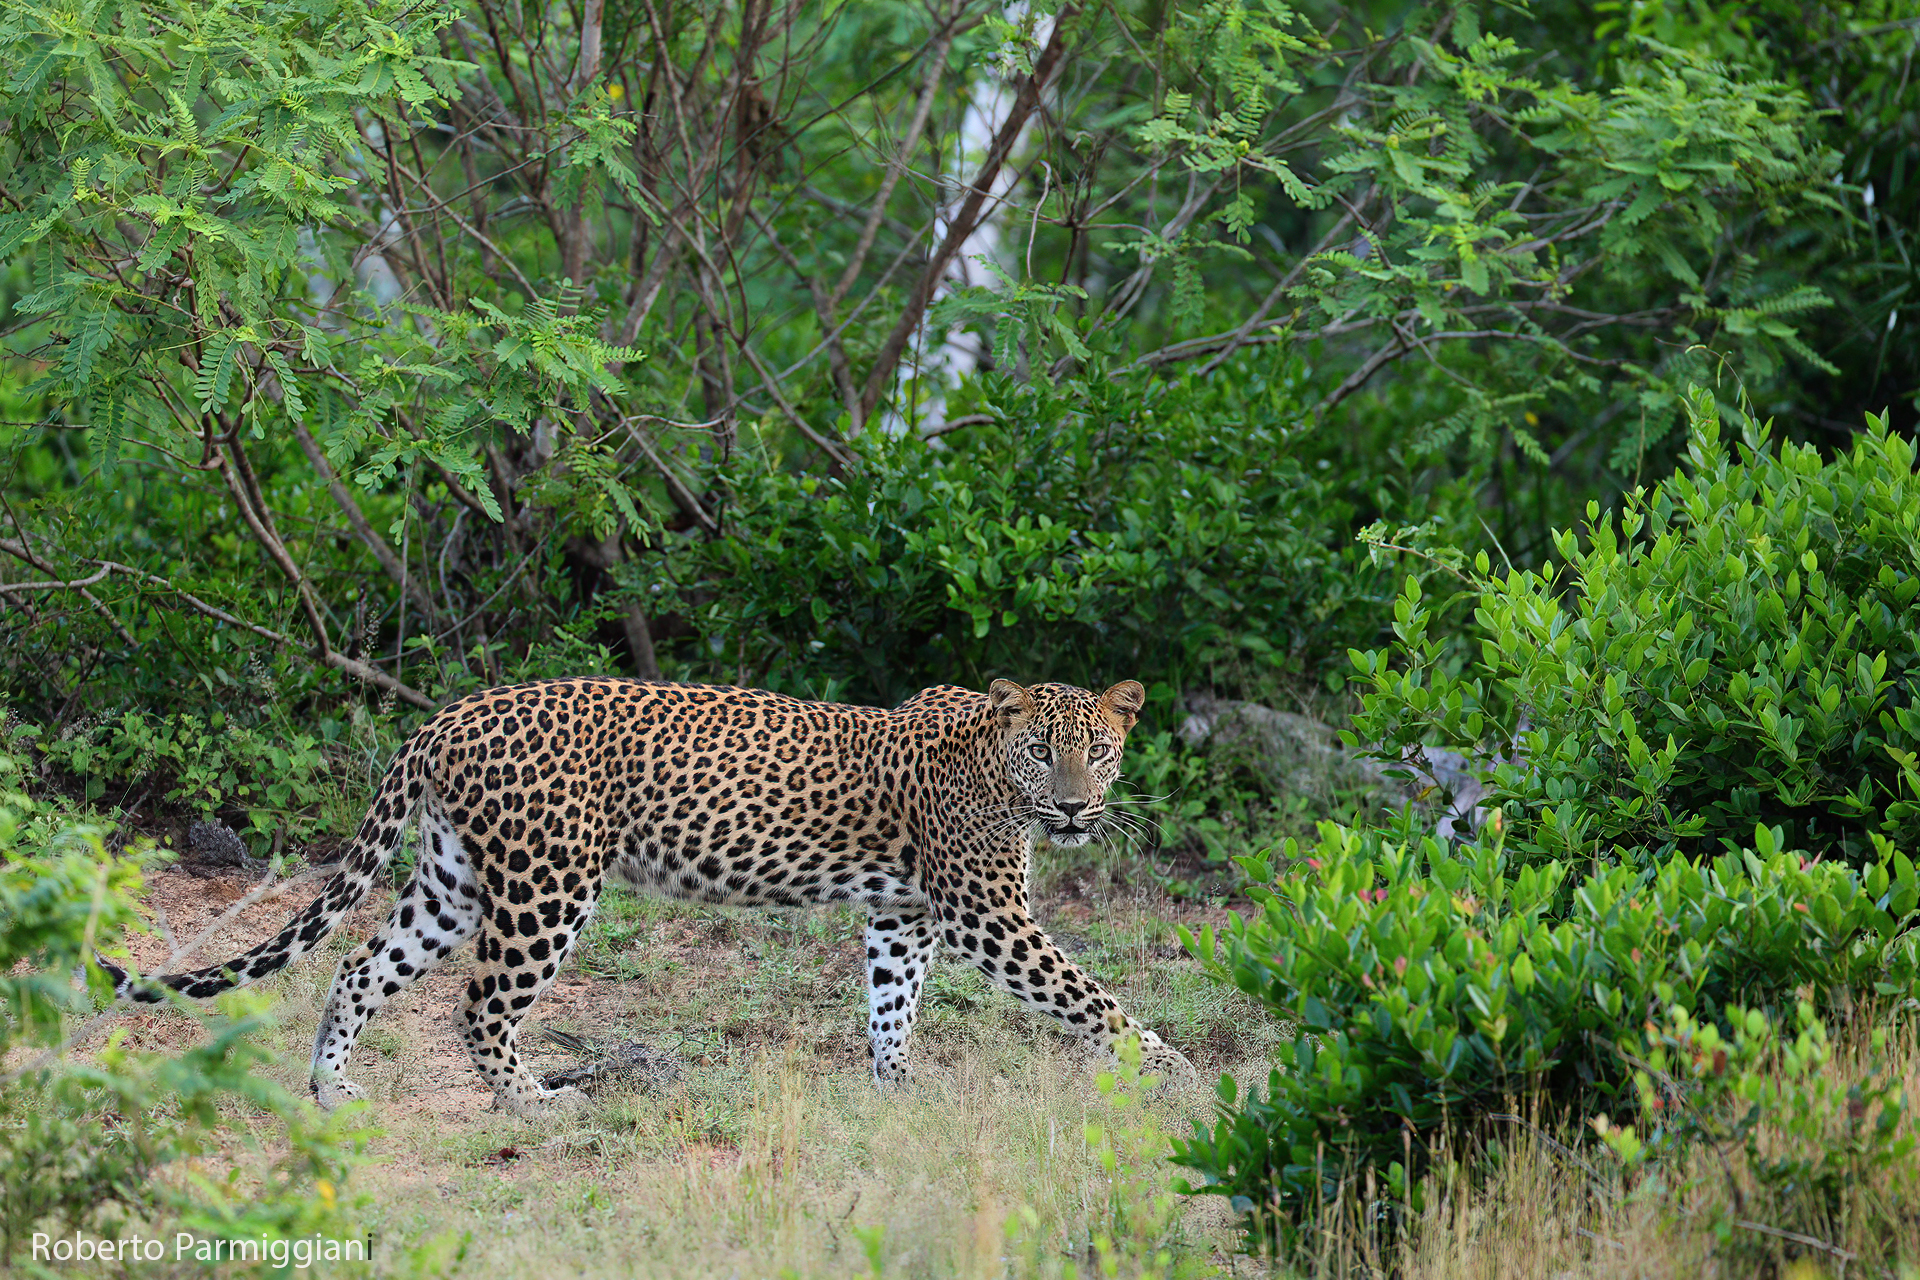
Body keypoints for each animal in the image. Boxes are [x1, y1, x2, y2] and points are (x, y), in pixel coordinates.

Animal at [106, 676, 1193, 1115]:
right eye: (1044, 750)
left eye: (1100, 750)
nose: (1075, 806)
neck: (989, 766)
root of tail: (447, 715)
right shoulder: (986, 914)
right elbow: (1089, 994)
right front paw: (1172, 1072)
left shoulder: (907, 914)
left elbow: (893, 1005)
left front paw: (897, 1091)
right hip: (546, 885)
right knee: (480, 1003)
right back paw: (535, 1103)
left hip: (453, 880)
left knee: (362, 962)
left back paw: (331, 1086)